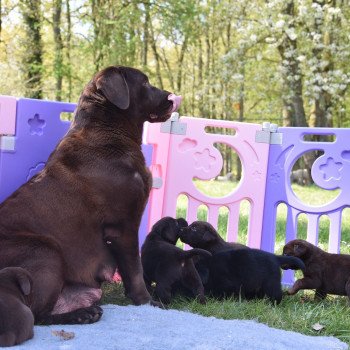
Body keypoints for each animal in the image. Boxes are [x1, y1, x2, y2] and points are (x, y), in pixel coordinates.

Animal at [0, 65, 182, 342]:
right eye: (145, 83)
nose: (172, 97)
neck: (109, 131)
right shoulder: (123, 226)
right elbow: (134, 269)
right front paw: (147, 301)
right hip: (45, 251)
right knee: (37, 314)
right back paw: (81, 315)